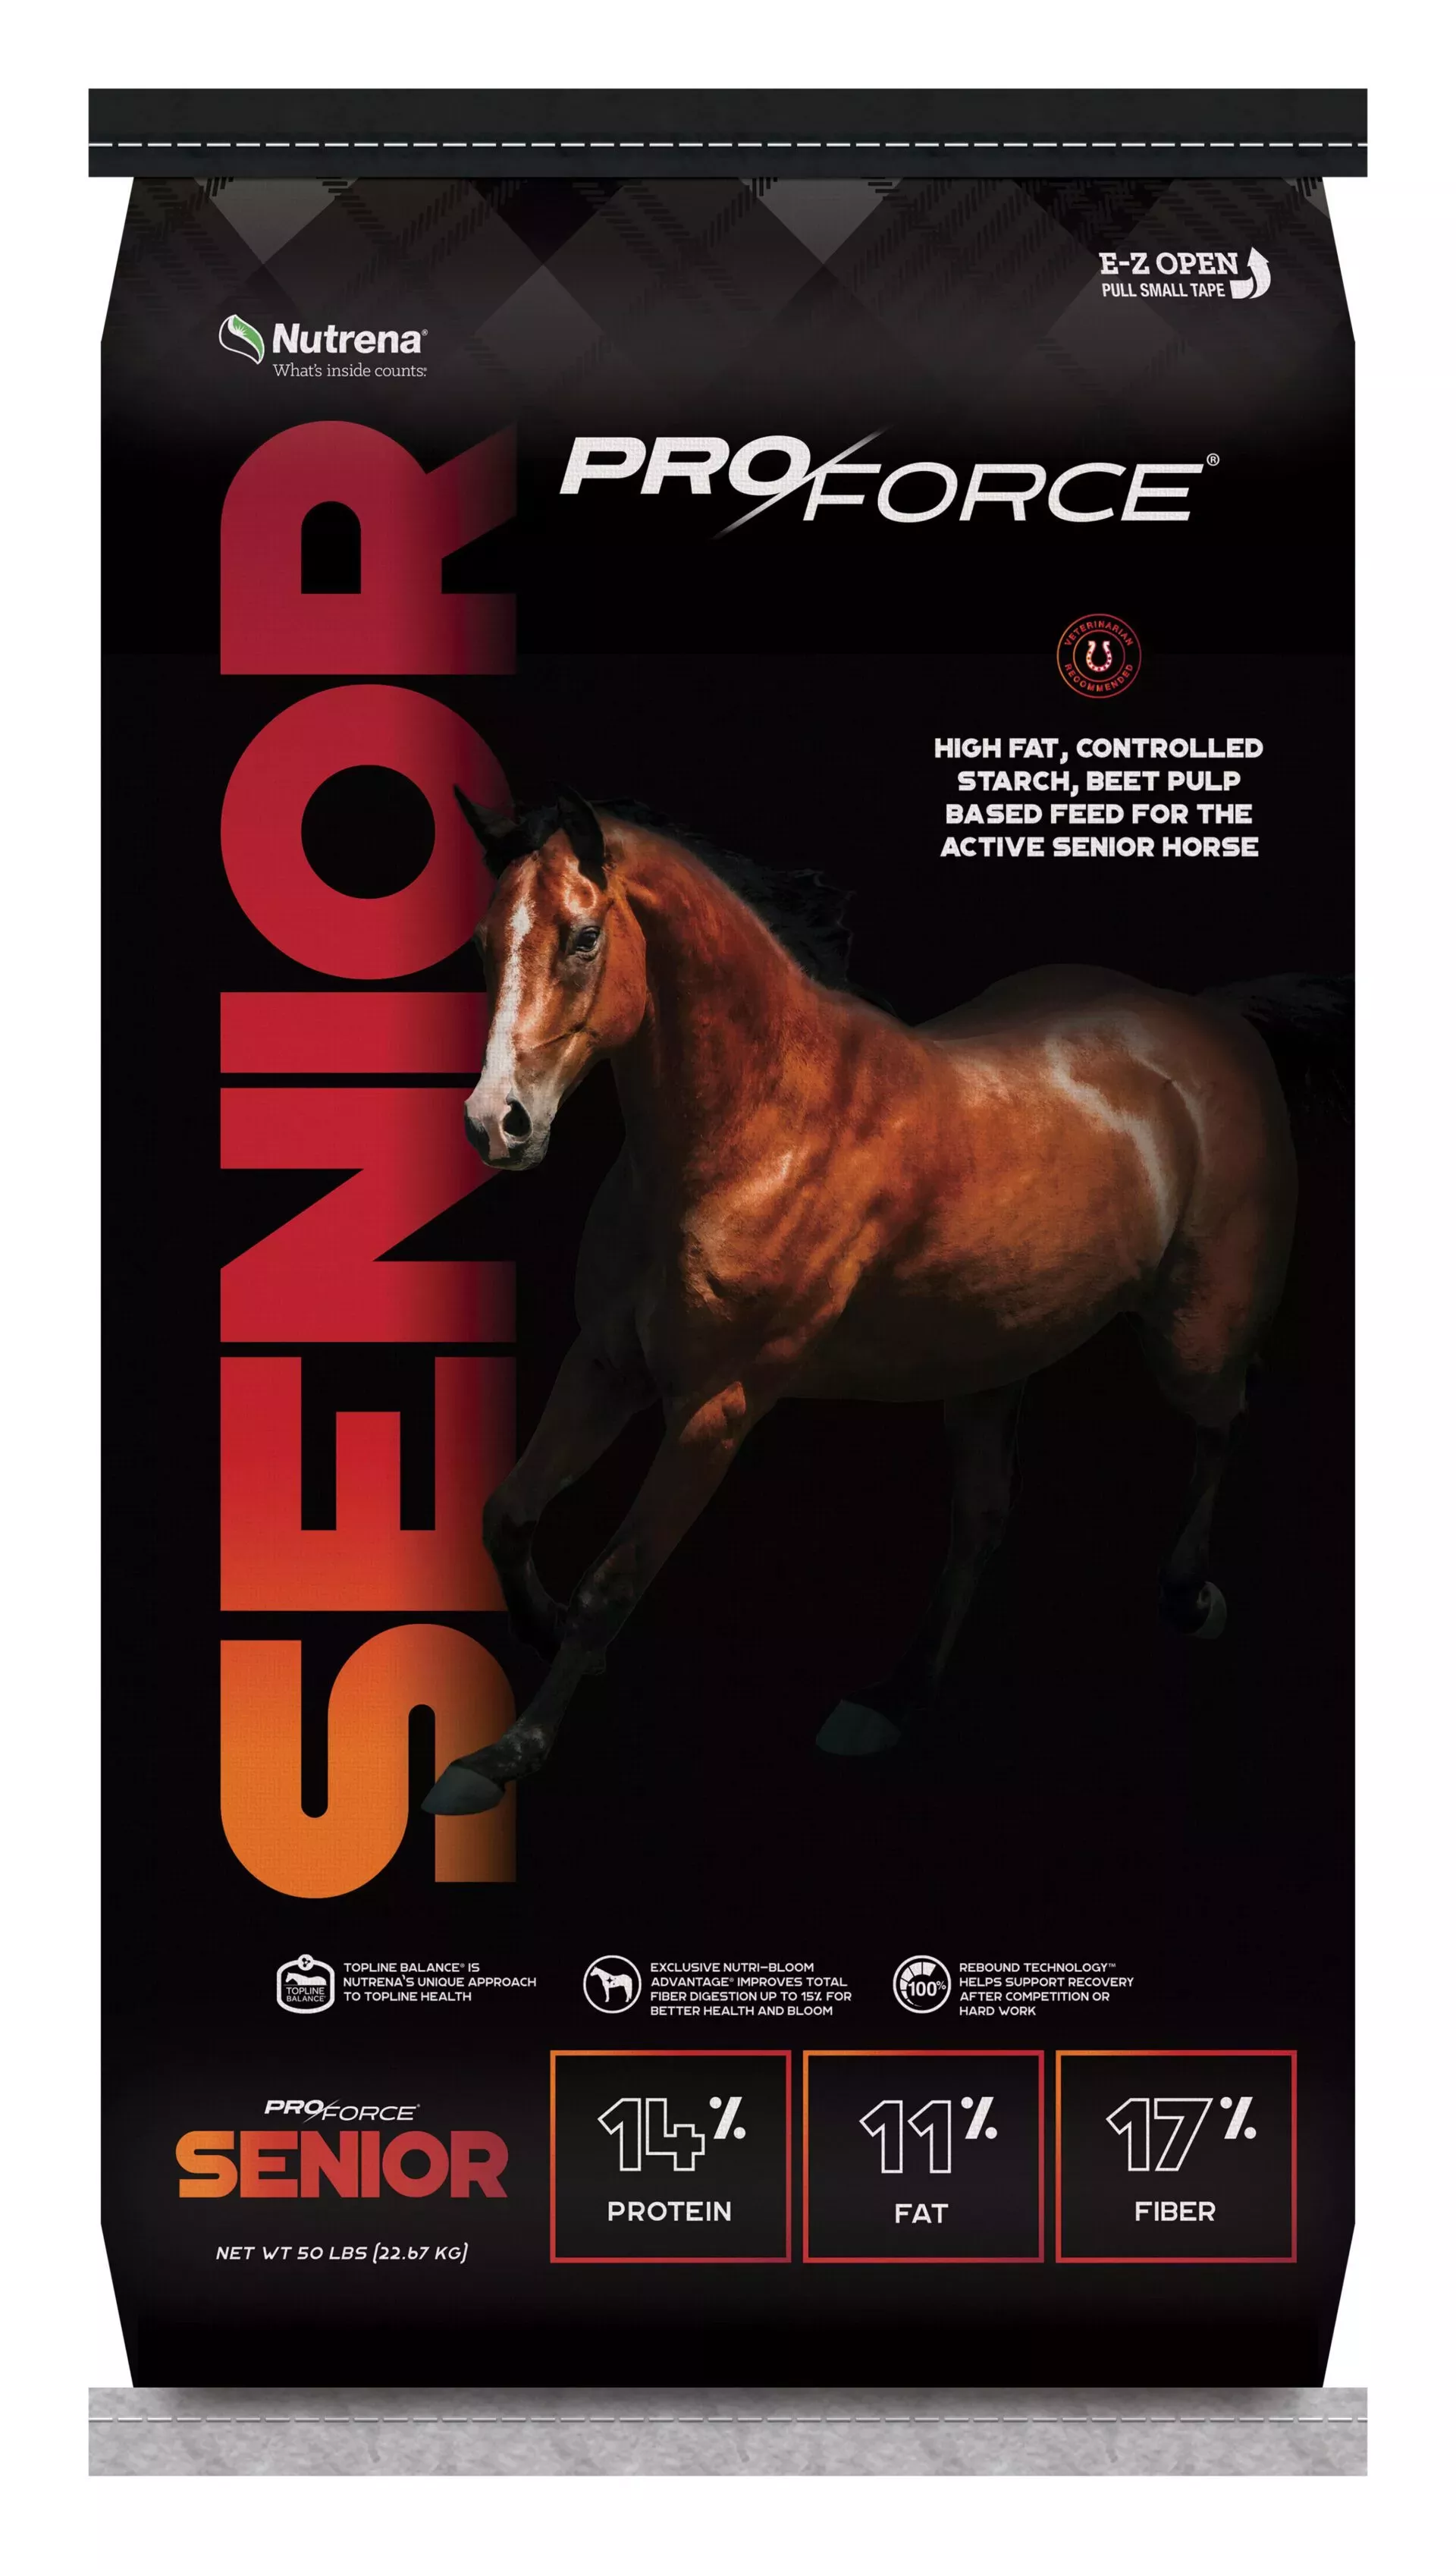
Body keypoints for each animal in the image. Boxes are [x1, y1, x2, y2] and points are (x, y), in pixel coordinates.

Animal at [422, 789, 1350, 1817]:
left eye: (583, 937)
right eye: (482, 942)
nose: (497, 1125)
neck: (759, 1132)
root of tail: (1212, 1020)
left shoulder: (716, 1407)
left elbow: (613, 1580)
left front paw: (501, 1758)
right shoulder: (605, 1362)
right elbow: (506, 1512)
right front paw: (540, 1635)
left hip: (1191, 1334)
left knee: (1224, 1414)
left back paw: (1188, 1597)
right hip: (992, 1363)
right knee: (982, 1521)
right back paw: (889, 1702)